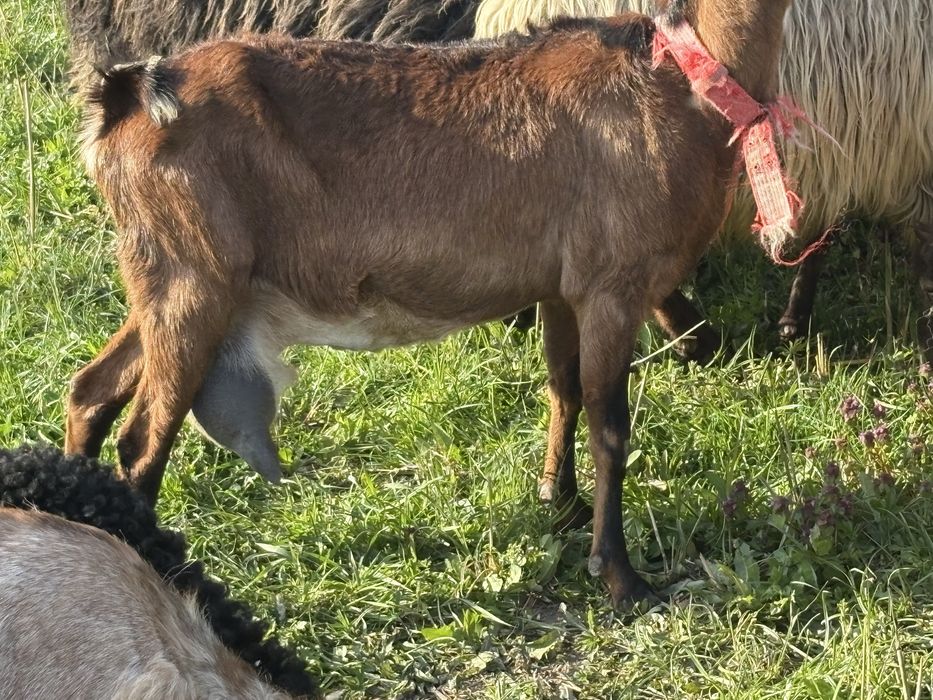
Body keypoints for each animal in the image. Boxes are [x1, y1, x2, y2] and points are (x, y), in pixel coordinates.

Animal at [68, 0, 794, 605]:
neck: (683, 76)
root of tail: (125, 101)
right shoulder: (613, 285)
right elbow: (609, 429)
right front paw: (620, 577)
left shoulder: (563, 286)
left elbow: (561, 388)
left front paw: (559, 505)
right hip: (193, 280)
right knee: (142, 439)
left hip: (169, 278)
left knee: (91, 388)